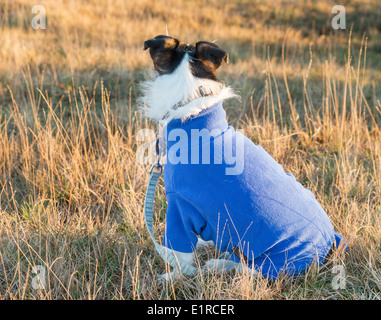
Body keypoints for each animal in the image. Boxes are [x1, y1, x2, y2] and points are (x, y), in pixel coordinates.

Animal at [139, 33, 344, 282]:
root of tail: (328, 245)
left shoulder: (179, 206)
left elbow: (181, 256)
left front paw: (171, 277)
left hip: (269, 261)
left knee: (248, 270)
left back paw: (219, 264)